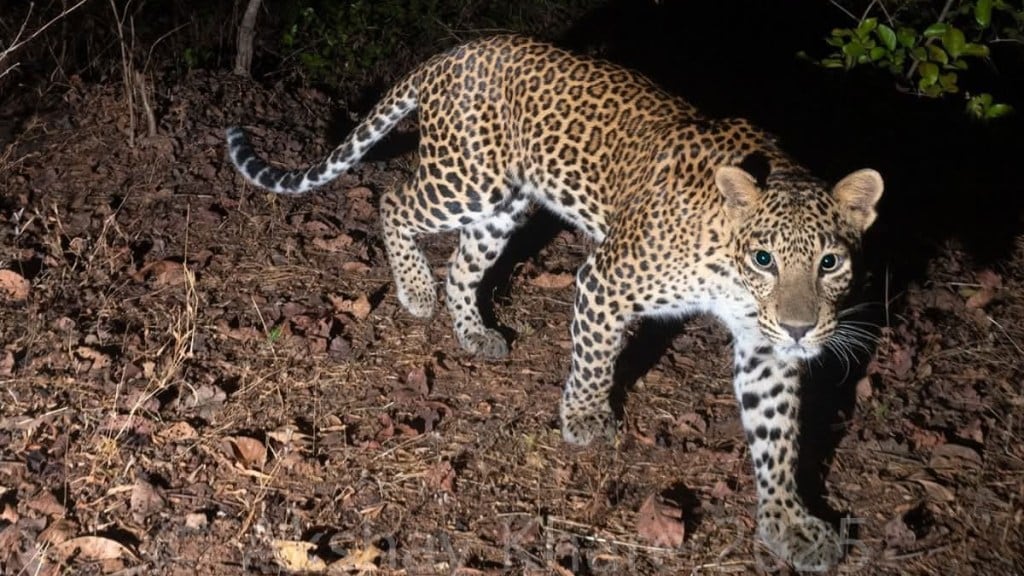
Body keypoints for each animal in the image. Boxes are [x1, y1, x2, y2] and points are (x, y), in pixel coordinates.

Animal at [226, 34, 883, 571]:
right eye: (764, 259)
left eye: (829, 263)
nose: (800, 329)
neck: (729, 264)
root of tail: (456, 53)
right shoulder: (606, 279)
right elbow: (595, 355)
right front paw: (586, 416)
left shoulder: (765, 347)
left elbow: (777, 434)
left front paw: (788, 523)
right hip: (465, 181)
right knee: (394, 199)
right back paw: (414, 289)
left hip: (503, 205)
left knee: (463, 267)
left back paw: (474, 333)